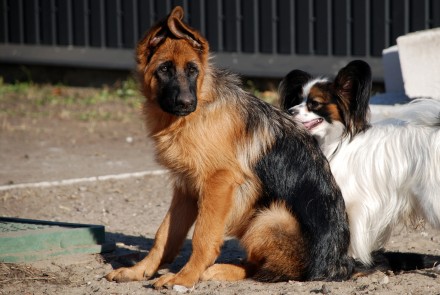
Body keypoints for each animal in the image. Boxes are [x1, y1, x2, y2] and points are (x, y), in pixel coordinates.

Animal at [105, 6, 354, 290]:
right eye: (164, 69)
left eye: (192, 70)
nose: (186, 103)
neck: (197, 113)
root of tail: (337, 266)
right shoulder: (186, 189)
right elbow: (164, 235)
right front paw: (140, 270)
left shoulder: (218, 183)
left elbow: (203, 237)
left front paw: (185, 277)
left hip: (271, 216)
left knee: (265, 268)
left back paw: (217, 270)